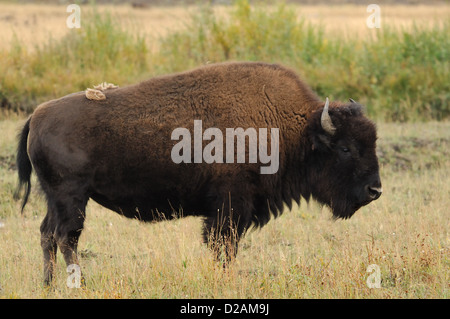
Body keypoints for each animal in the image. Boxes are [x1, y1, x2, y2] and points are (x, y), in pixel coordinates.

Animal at [14, 61, 382, 286]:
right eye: (346, 148)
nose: (374, 190)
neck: (294, 129)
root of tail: (36, 116)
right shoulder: (231, 207)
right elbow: (224, 246)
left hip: (56, 199)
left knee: (47, 234)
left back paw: (48, 285)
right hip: (72, 198)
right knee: (66, 237)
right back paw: (80, 283)